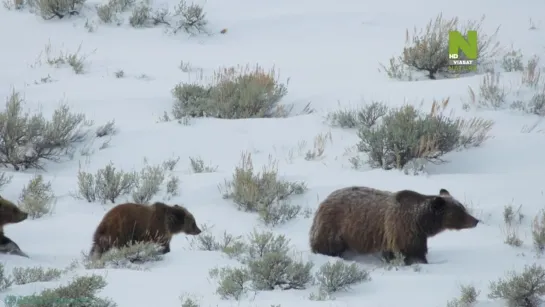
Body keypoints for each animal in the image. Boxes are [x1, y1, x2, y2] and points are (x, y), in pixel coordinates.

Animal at [308, 186, 478, 266]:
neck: (421, 221)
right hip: (334, 227)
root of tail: (324, 201)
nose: (476, 220)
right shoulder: (403, 229)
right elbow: (411, 252)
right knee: (327, 245)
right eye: (460, 210)